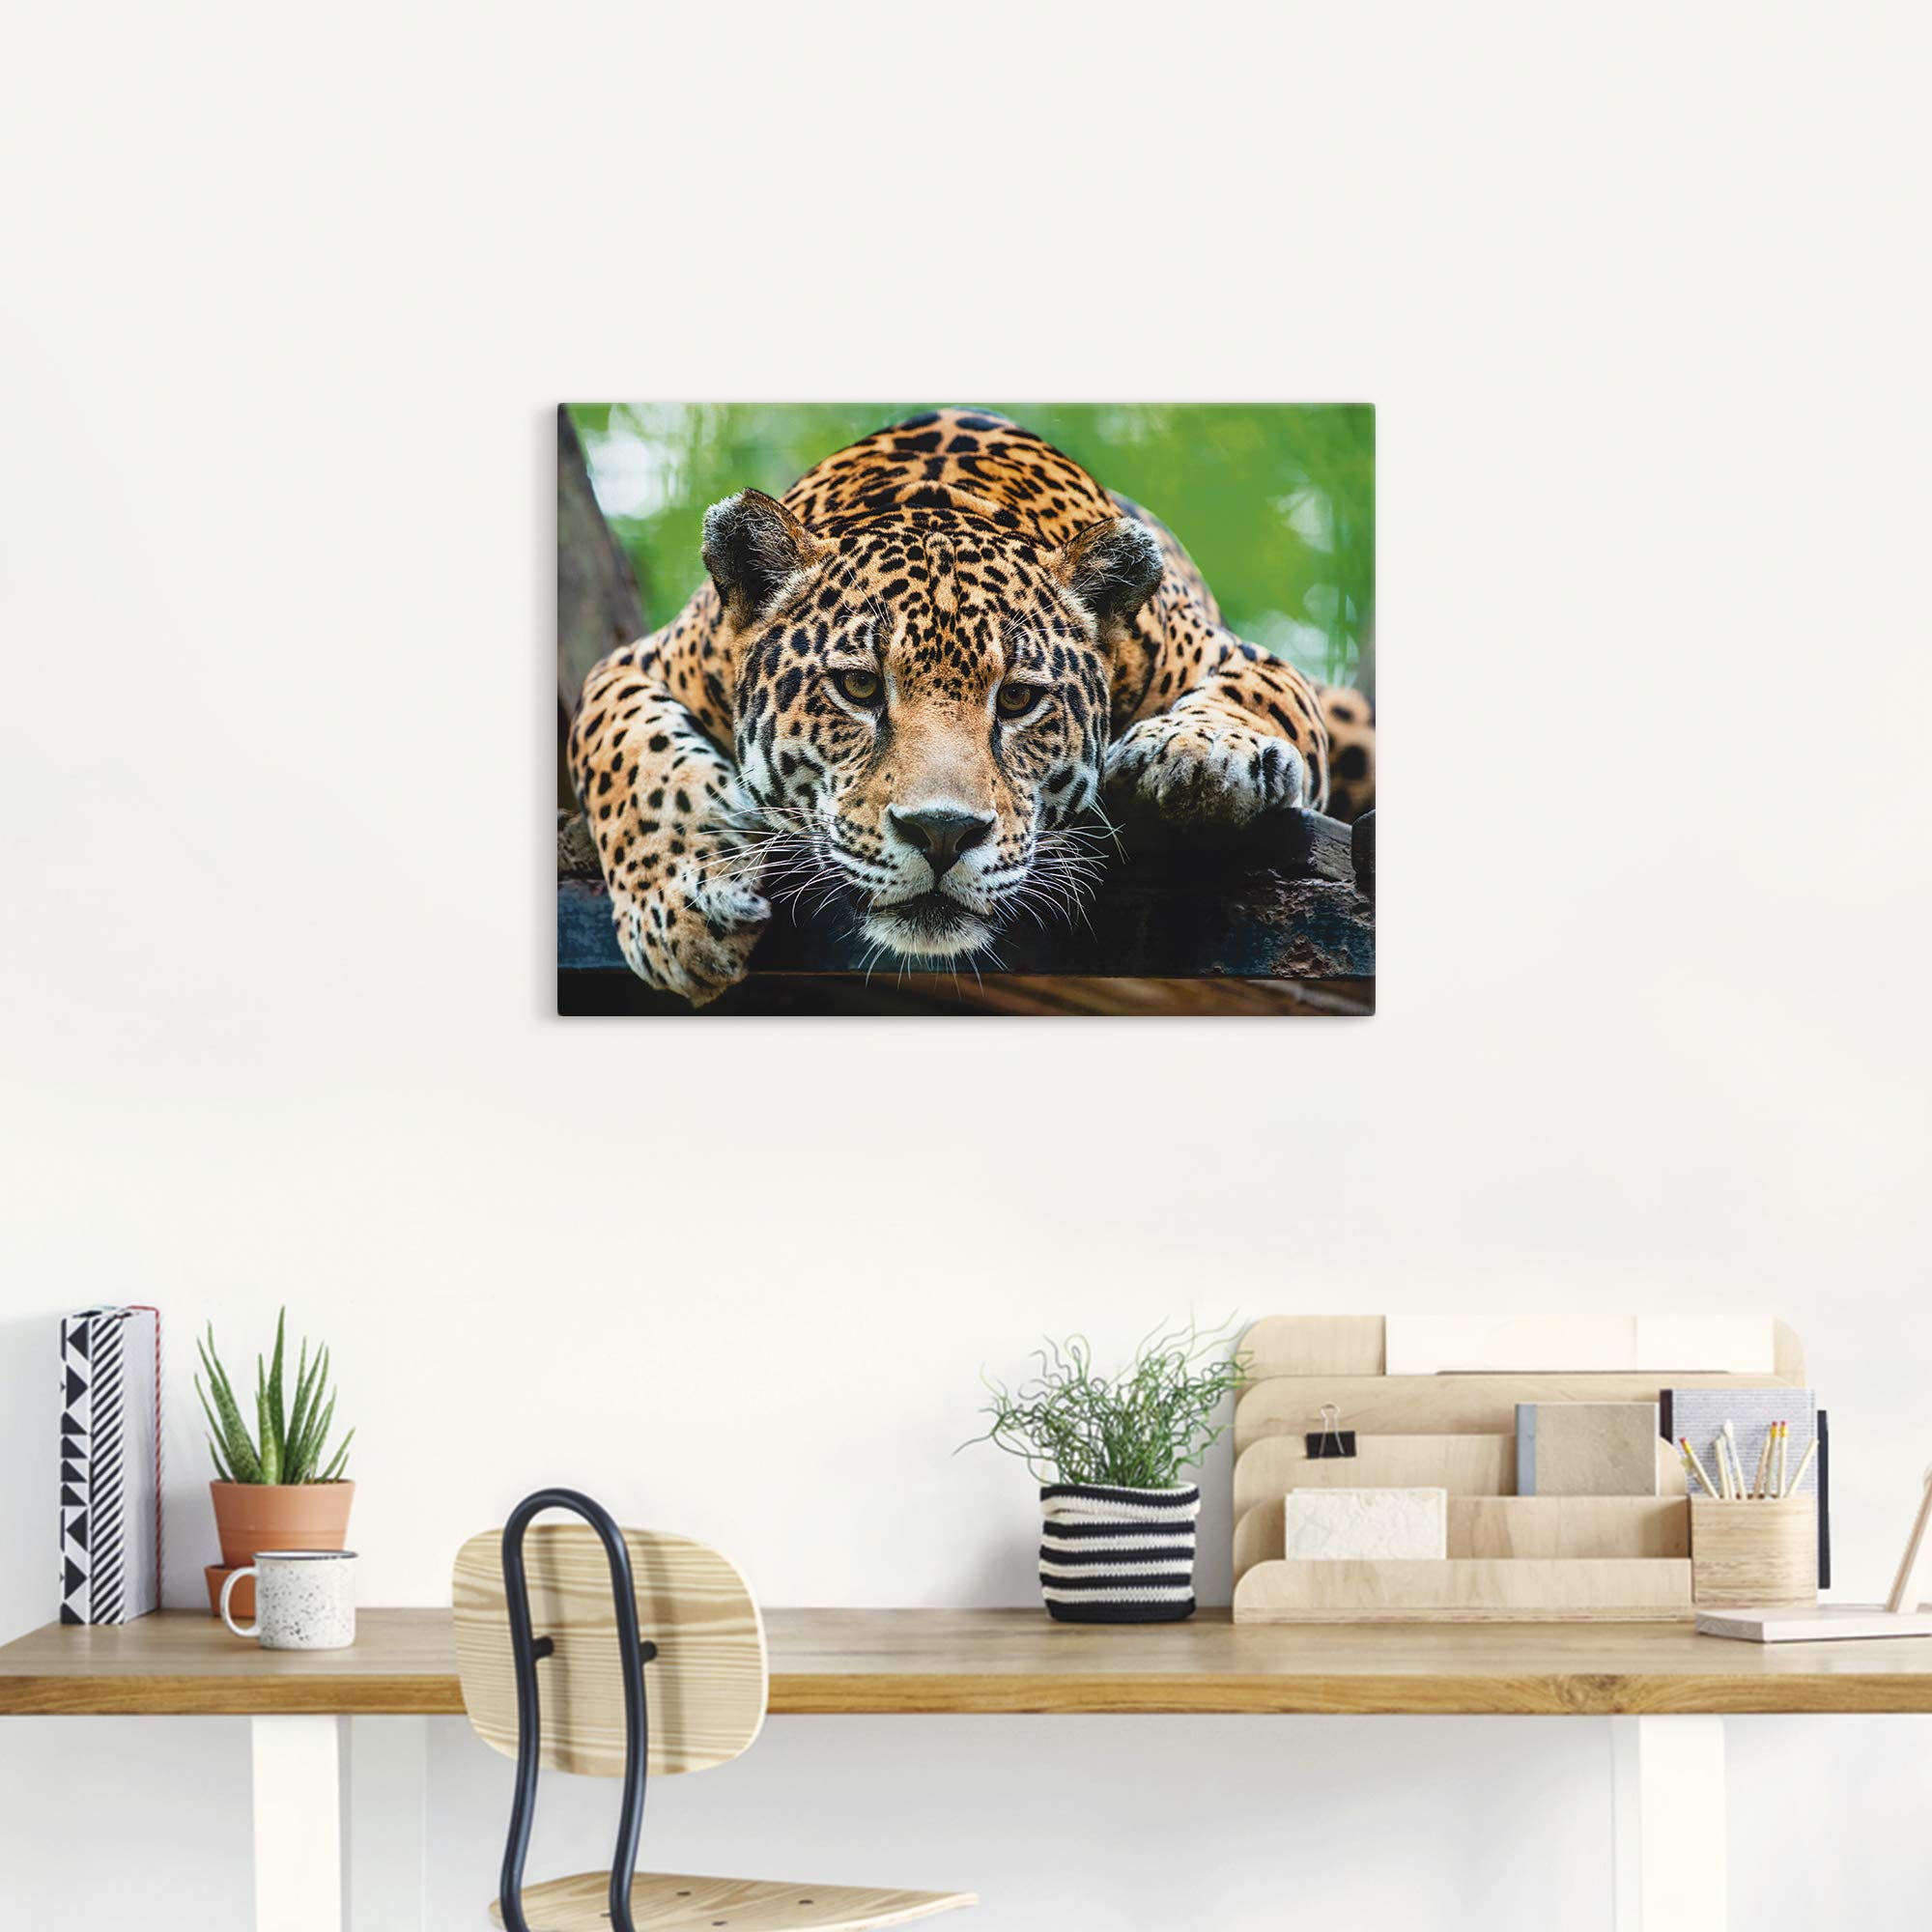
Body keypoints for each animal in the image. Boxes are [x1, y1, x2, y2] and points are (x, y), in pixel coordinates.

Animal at [566, 409, 1376, 1006]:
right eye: (860, 688)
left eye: (1018, 699)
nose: (942, 833)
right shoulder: (636, 663)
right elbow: (627, 753)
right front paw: (680, 911)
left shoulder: (1238, 656)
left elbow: (1260, 695)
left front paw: (1201, 753)